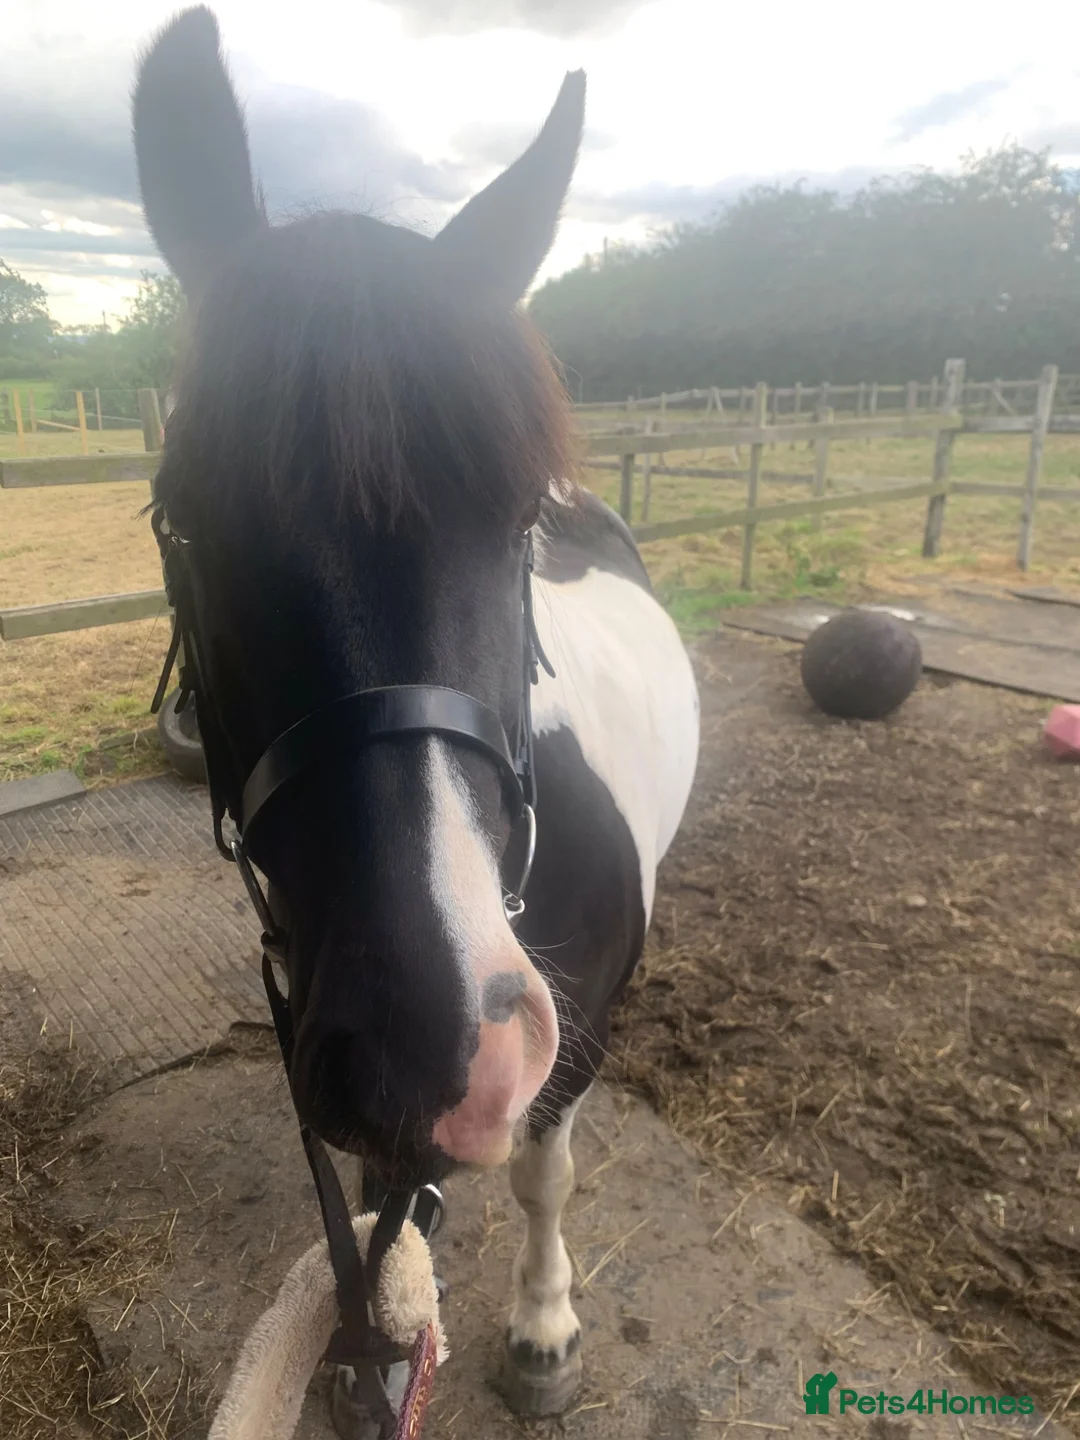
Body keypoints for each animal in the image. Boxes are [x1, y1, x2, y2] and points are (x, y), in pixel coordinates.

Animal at [131, 6, 699, 1429]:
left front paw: (542, 1329)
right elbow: (379, 1212)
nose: (432, 1044)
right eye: (184, 520)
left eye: (514, 522)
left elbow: (546, 1173)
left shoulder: (569, 1040)